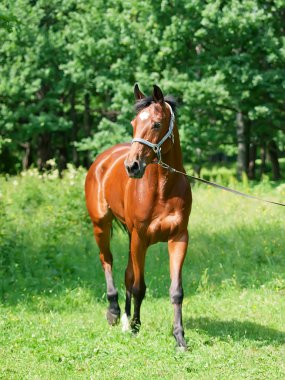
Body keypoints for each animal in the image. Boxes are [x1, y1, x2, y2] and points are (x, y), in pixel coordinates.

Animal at [84, 84, 191, 348]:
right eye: (133, 123)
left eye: (156, 124)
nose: (132, 166)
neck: (163, 189)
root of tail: (103, 159)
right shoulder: (140, 239)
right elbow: (140, 287)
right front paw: (134, 327)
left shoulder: (178, 239)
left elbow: (176, 291)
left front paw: (179, 338)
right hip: (101, 226)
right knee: (107, 261)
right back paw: (114, 312)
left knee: (126, 274)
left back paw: (124, 316)